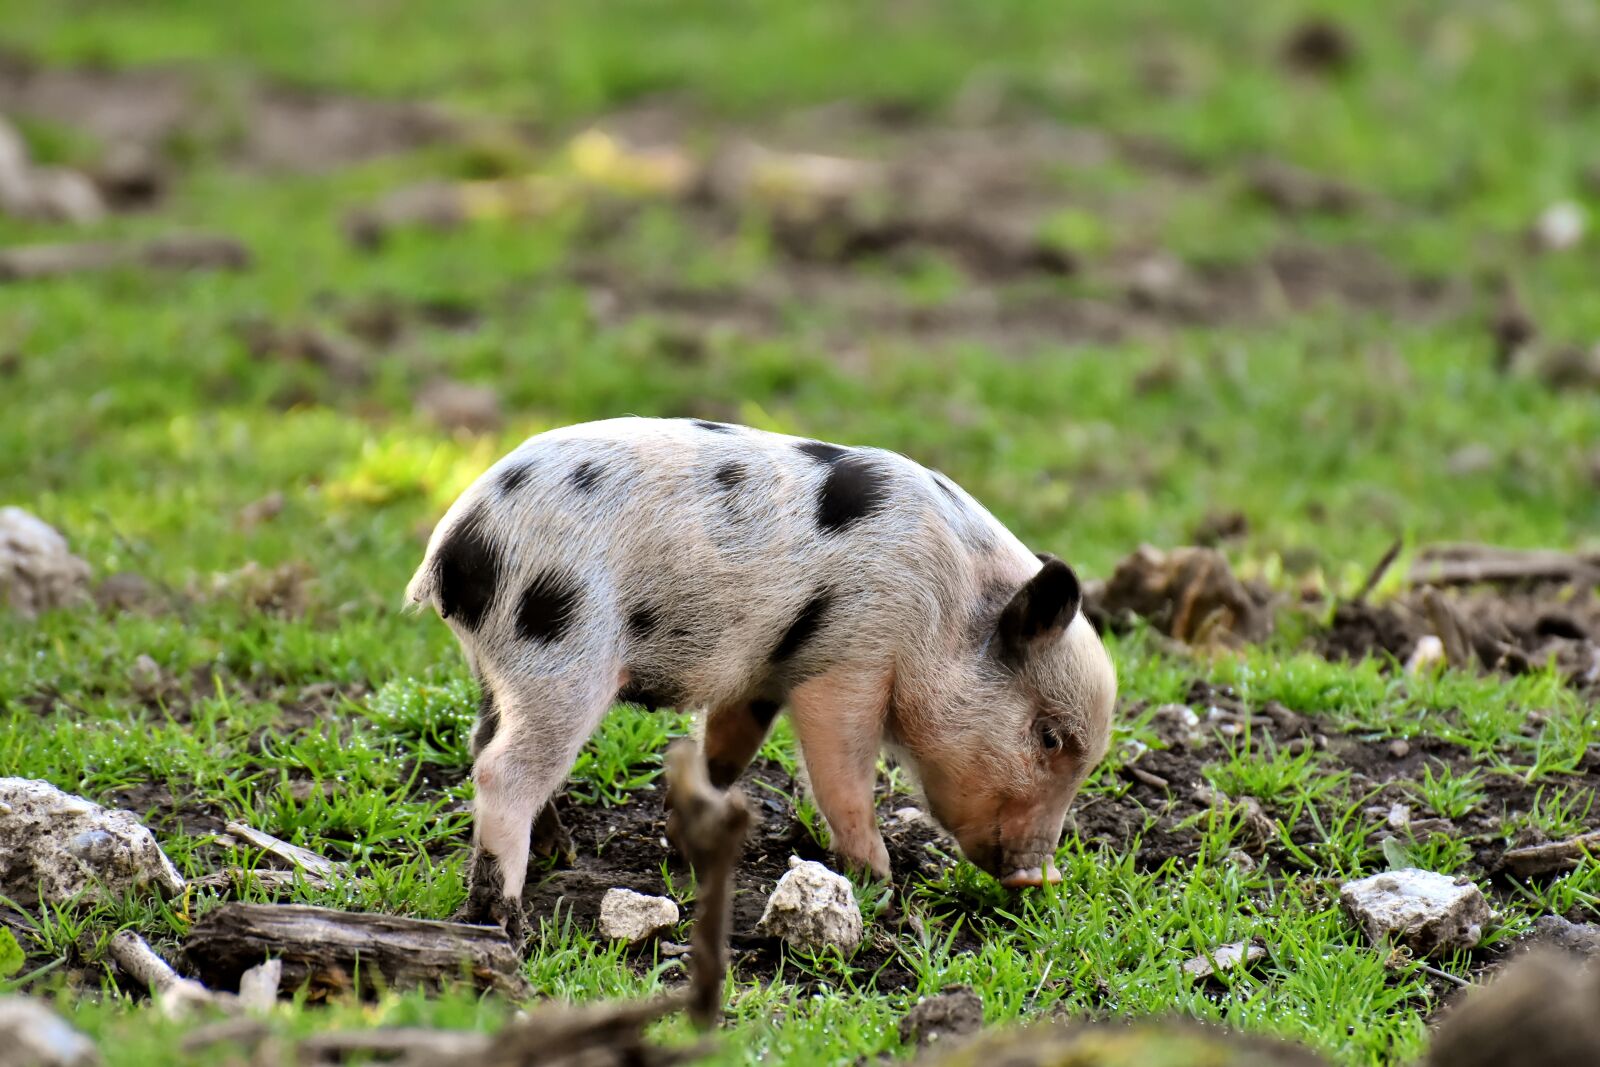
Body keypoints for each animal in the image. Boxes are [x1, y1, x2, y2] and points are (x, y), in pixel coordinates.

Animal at [407, 417, 1116, 940]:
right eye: (1051, 738)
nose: (1038, 876)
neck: (945, 609)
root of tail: (454, 547)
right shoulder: (849, 660)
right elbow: (841, 772)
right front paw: (880, 881)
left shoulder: (761, 675)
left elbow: (726, 750)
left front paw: (689, 835)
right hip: (561, 652)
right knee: (501, 770)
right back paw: (503, 922)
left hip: (501, 666)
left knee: (483, 741)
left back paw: (563, 853)